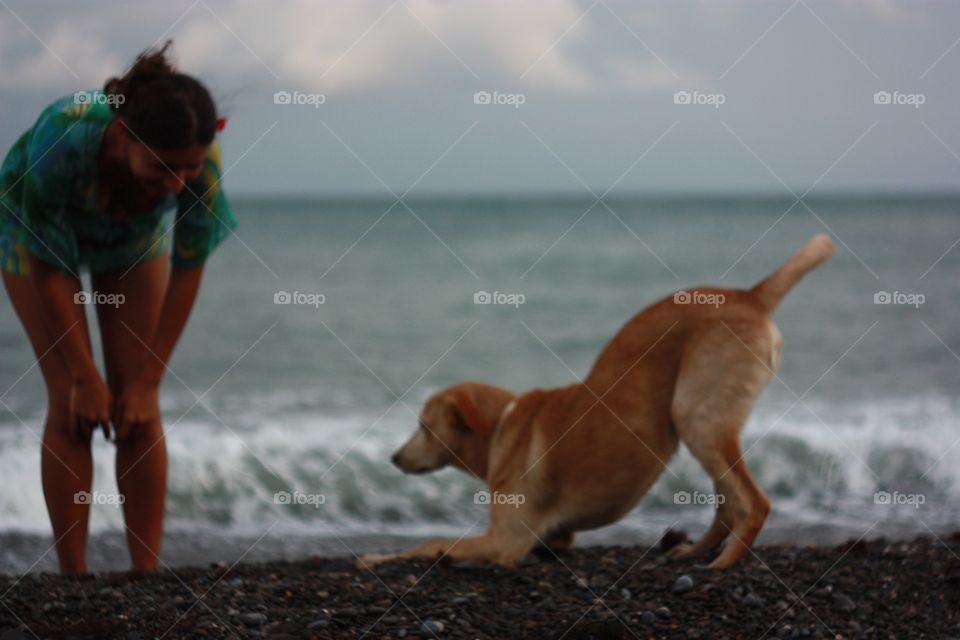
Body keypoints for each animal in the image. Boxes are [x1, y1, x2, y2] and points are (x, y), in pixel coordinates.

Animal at [360, 235, 832, 568]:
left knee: (752, 502)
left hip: (695, 414)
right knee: (728, 502)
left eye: (423, 426)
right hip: (708, 423)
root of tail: (750, 295)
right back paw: (697, 552)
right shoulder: (551, 536)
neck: (501, 429)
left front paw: (379, 557)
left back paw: (723, 564)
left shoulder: (507, 540)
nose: (393, 458)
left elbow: (430, 542)